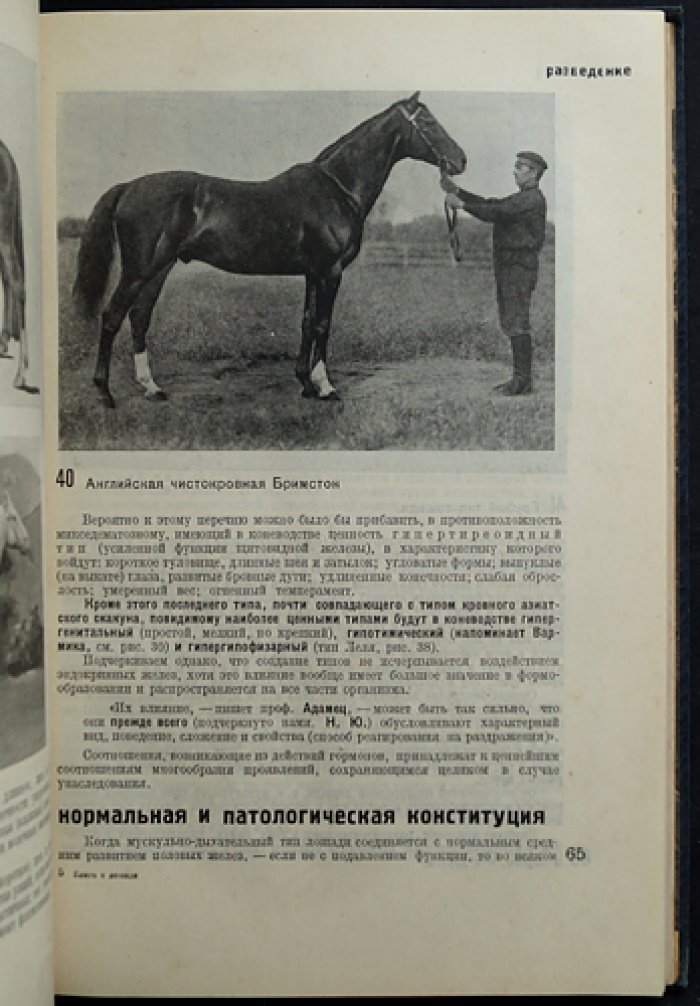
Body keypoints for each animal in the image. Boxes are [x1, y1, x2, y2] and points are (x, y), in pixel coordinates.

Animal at [72, 92, 467, 409]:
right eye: (428, 121)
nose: (461, 160)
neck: (338, 189)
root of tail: (128, 186)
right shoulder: (330, 271)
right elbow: (323, 324)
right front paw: (326, 387)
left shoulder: (313, 273)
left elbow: (307, 323)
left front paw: (305, 383)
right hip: (138, 271)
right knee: (112, 317)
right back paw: (105, 393)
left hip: (159, 269)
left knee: (139, 318)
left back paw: (152, 388)